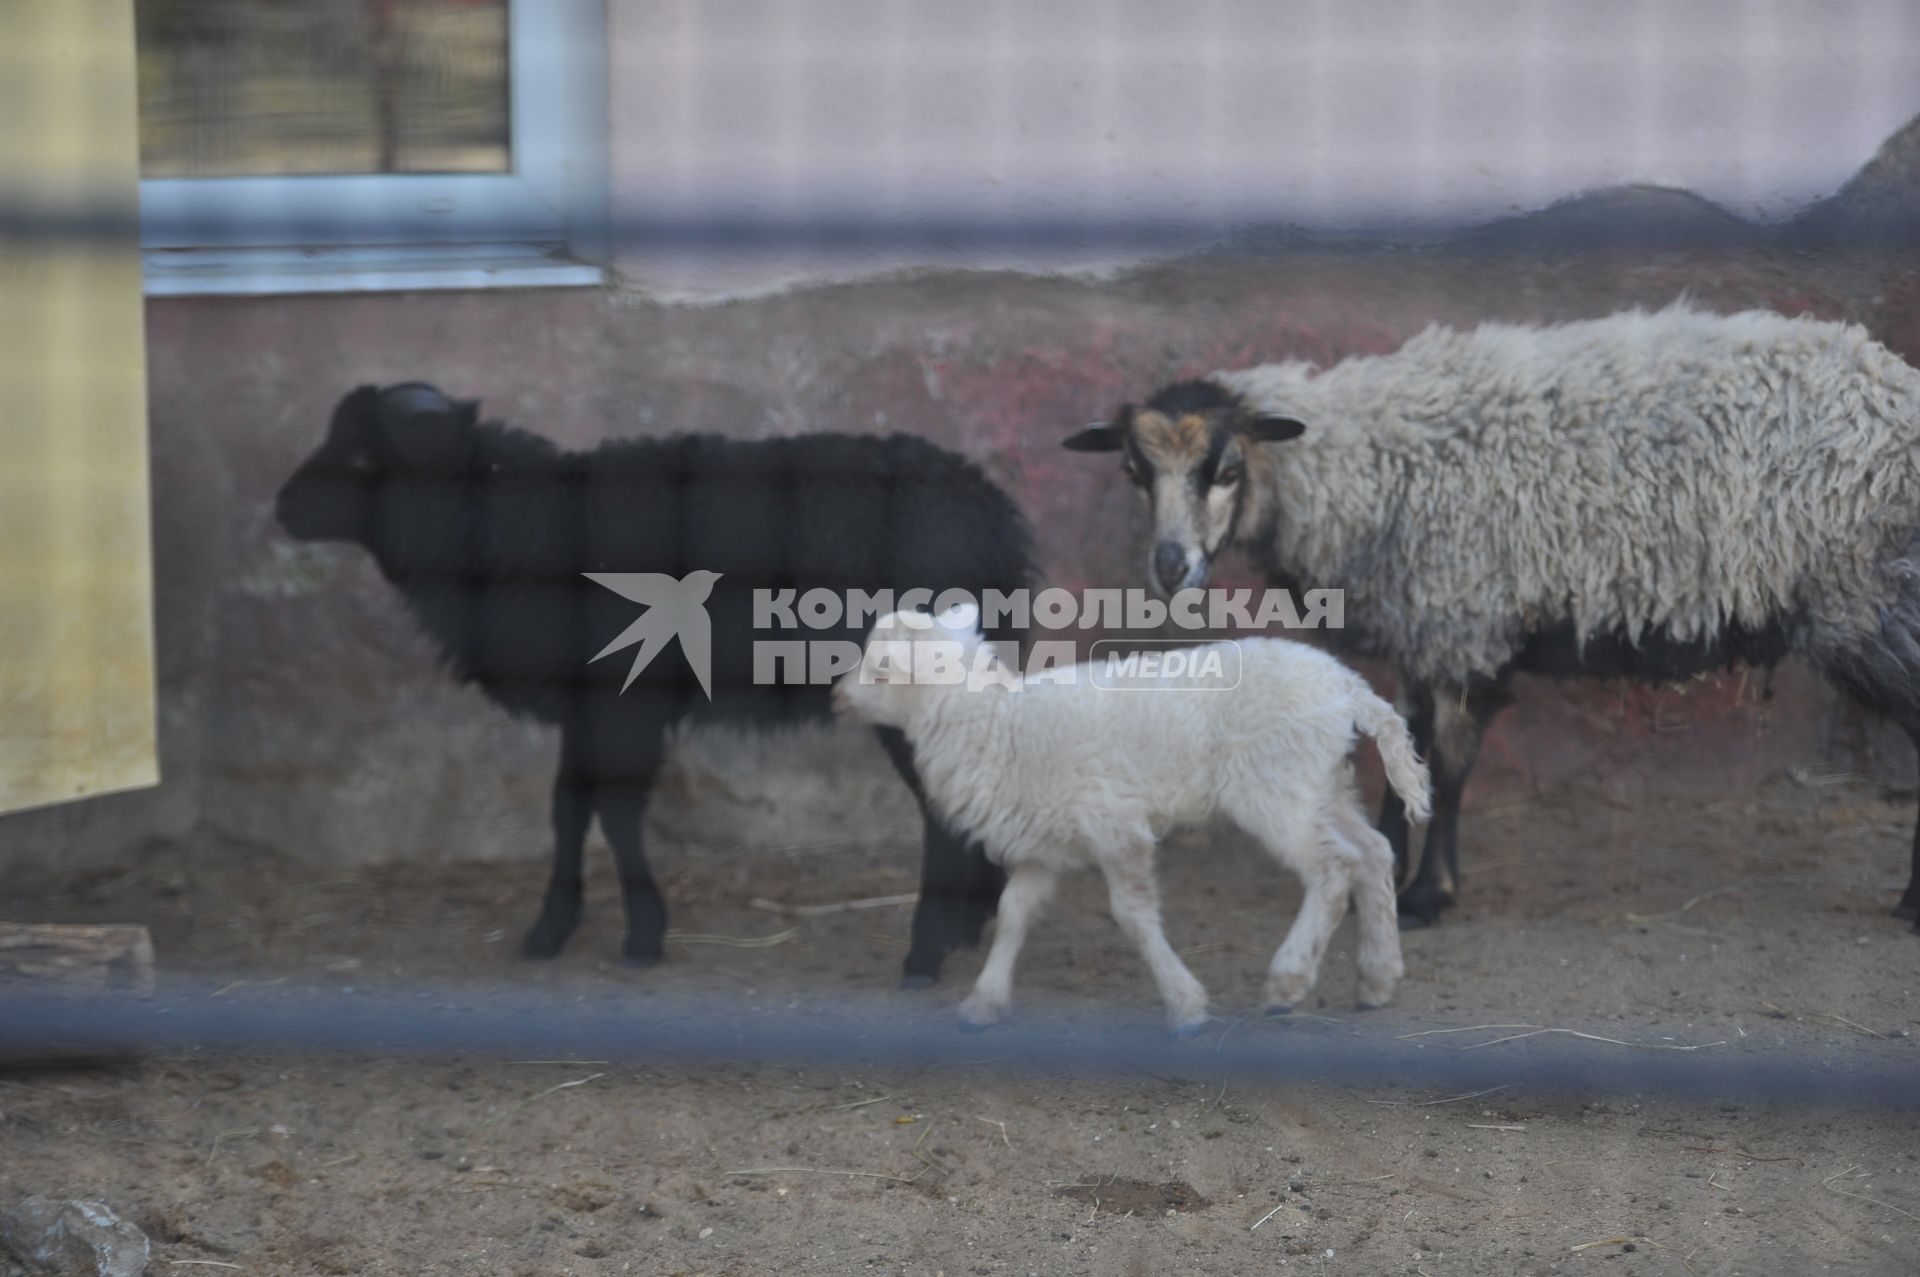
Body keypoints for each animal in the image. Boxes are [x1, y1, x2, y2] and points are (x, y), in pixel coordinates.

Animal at [274, 384, 1036, 979]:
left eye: (363, 457)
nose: (282, 506)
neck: (520, 522)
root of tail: (991, 516)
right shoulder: (586, 704)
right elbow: (567, 809)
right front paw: (551, 928)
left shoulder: (624, 703)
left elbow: (614, 814)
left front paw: (642, 933)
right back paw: (968, 926)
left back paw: (926, 949)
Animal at [825, 602, 1428, 1029]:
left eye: (882, 667)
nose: (835, 699)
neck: (994, 722)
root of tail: (1346, 686)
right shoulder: (1045, 841)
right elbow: (1014, 911)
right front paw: (985, 1001)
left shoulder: (1115, 826)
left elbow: (1133, 916)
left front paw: (1185, 1004)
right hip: (1322, 783)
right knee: (1374, 851)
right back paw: (1378, 979)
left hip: (1275, 785)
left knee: (1333, 866)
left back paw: (1289, 980)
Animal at [1075, 301, 1920, 925]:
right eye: (1134, 470)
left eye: (1223, 469)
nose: (1170, 567)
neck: (1363, 467)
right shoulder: (1424, 624)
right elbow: (1403, 749)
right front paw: (1386, 868)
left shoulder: (1461, 616)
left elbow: (1447, 761)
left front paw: (1427, 894)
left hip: (1874, 603)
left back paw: (1910, 906)